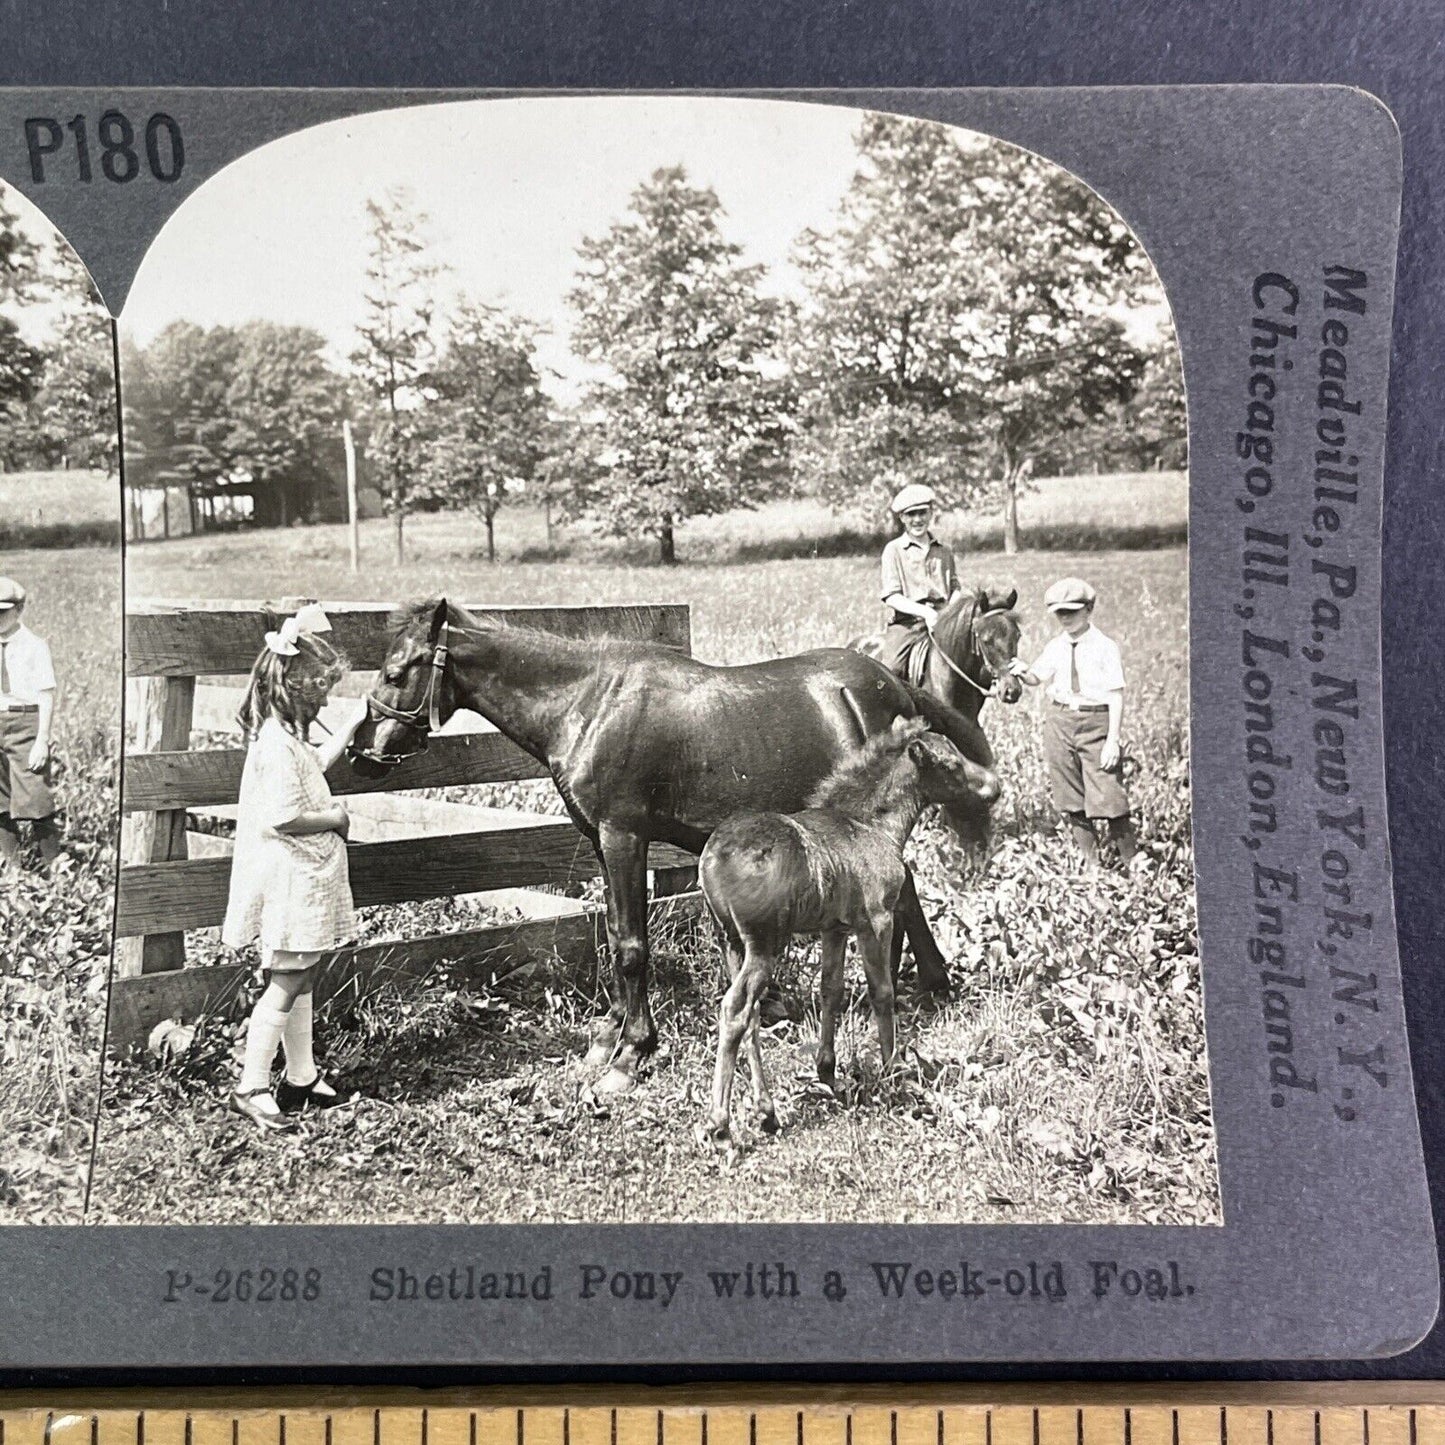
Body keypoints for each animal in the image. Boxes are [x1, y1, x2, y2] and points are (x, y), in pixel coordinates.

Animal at [351, 601, 1005, 1092]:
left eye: (397, 670)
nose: (362, 751)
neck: (589, 702)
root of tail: (893, 683)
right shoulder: (601, 841)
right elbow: (617, 932)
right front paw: (609, 1033)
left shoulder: (623, 836)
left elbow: (632, 947)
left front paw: (631, 1053)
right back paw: (927, 982)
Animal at [696, 716, 994, 1144]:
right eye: (952, 764)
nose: (993, 786)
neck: (872, 824)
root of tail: (714, 859)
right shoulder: (877, 920)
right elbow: (882, 991)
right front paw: (893, 1072)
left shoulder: (834, 929)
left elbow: (830, 990)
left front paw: (827, 1071)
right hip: (765, 943)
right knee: (736, 1008)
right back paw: (720, 1123)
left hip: (732, 943)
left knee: (748, 1015)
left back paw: (767, 1112)